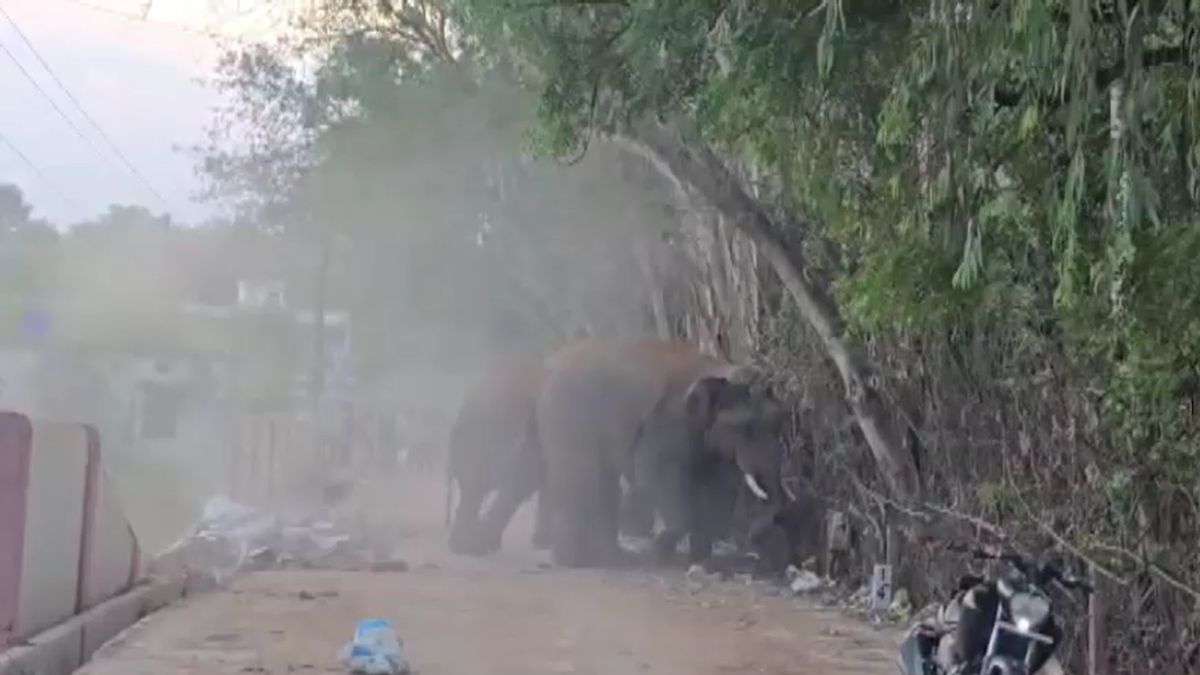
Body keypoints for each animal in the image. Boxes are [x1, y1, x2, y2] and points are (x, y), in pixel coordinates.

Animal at [536, 338, 789, 568]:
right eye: (742, 427)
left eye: (779, 421)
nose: (756, 539)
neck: (716, 369)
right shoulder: (664, 425)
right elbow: (657, 478)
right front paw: (661, 552)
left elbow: (717, 488)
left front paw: (700, 560)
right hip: (569, 415)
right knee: (581, 479)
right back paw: (576, 561)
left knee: (603, 482)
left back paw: (610, 557)